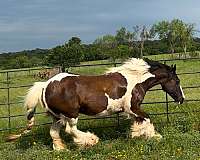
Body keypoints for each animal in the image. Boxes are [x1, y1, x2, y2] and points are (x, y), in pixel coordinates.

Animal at [7, 57, 185, 150]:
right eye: (177, 81)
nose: (182, 99)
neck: (135, 80)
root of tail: (45, 85)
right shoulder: (132, 108)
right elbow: (147, 118)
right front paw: (151, 136)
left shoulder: (132, 111)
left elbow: (141, 121)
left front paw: (139, 134)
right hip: (71, 114)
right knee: (71, 130)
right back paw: (91, 140)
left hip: (57, 116)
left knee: (54, 132)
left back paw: (61, 149)